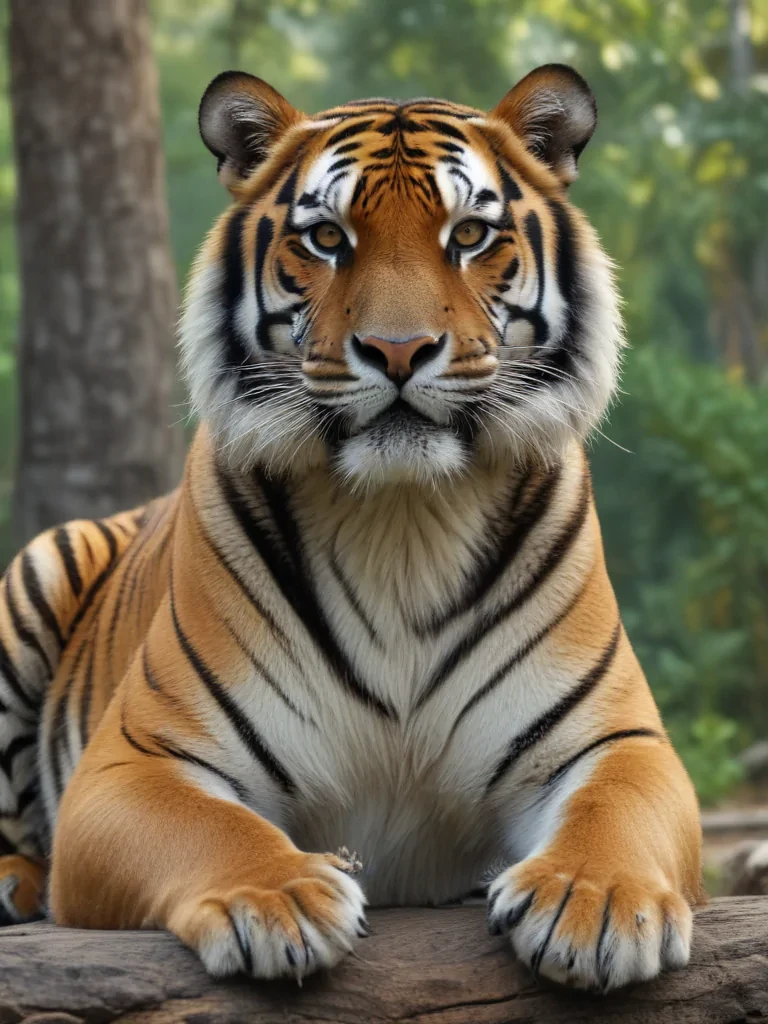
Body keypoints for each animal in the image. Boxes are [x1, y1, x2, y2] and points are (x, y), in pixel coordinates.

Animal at [0, 63, 702, 991]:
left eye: (470, 233)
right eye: (327, 238)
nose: (398, 350)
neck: (402, 517)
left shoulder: (618, 739)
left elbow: (614, 808)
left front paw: (596, 901)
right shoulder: (133, 763)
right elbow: (216, 826)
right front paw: (283, 898)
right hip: (38, 567)